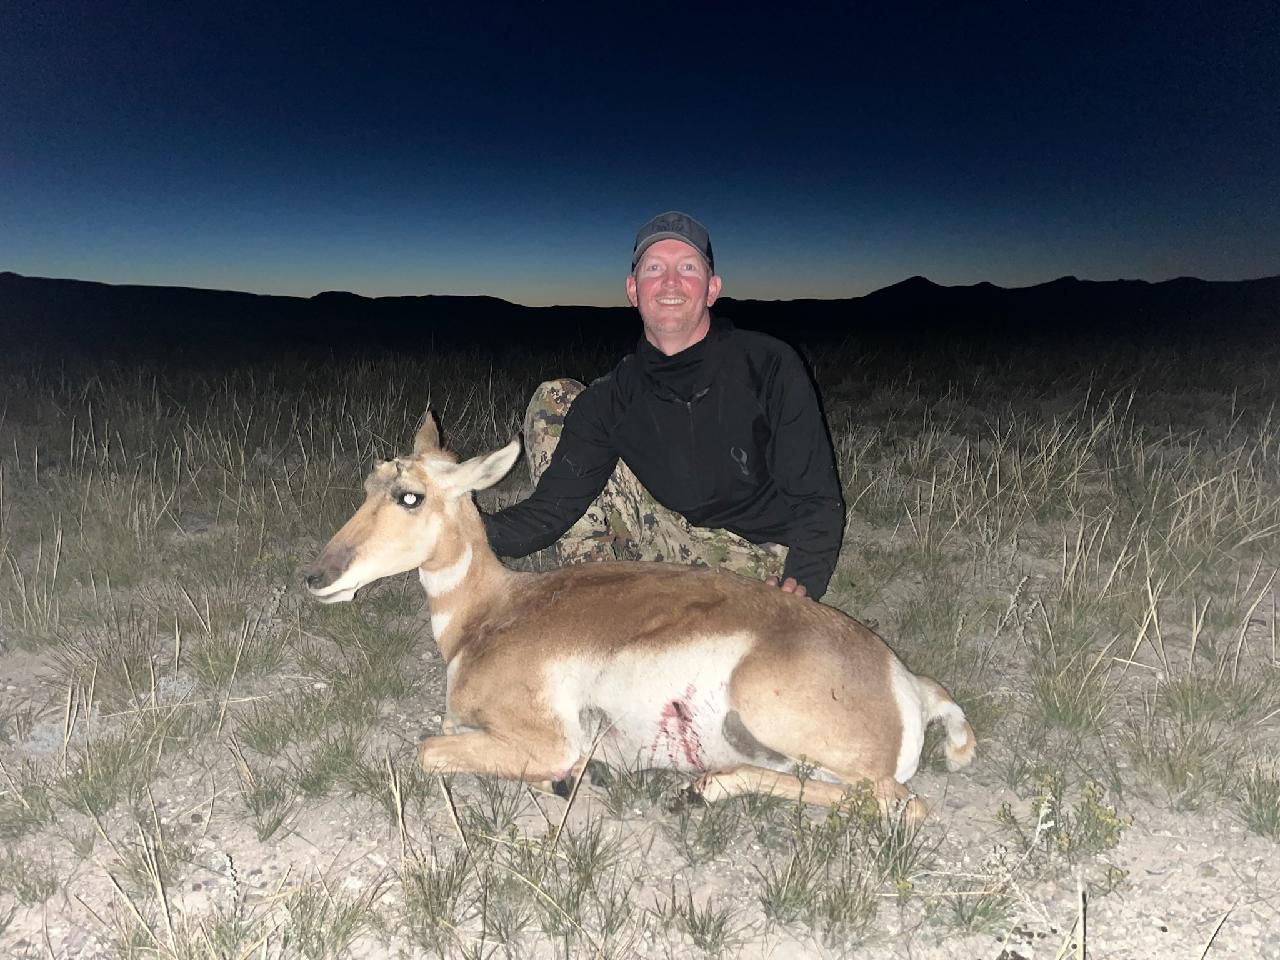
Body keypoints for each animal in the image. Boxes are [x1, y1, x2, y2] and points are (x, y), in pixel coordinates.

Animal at [303, 413, 976, 820]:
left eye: (410, 496)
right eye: (368, 485)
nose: (316, 576)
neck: (495, 610)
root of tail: (904, 683)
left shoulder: (544, 738)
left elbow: (430, 749)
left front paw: (572, 776)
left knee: (898, 803)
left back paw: (701, 788)